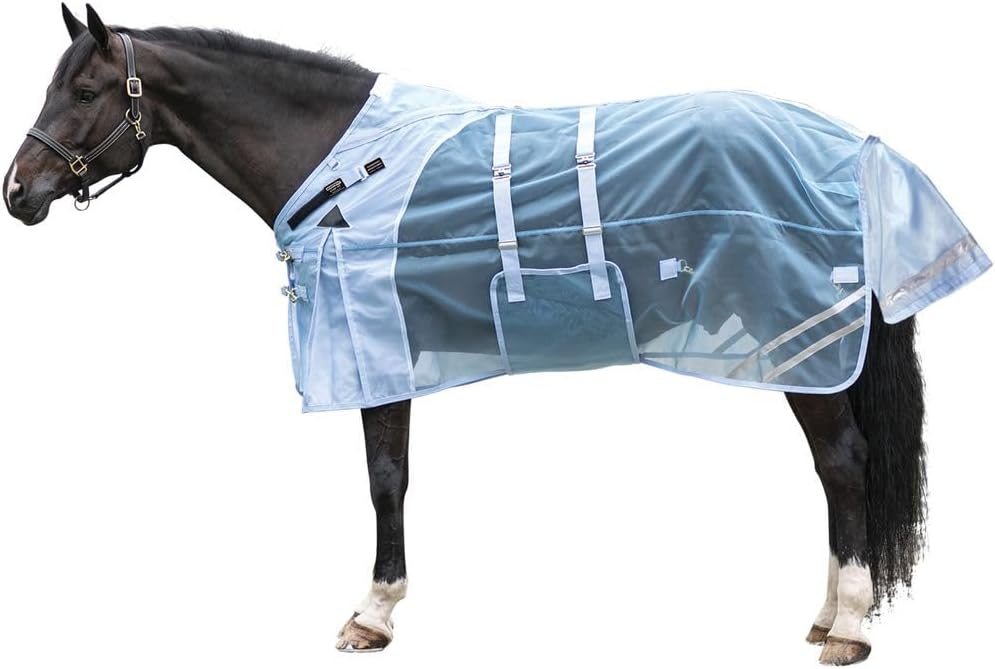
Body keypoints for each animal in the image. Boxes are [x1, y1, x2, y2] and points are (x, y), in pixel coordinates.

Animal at [3, 5, 937, 664]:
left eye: (83, 93)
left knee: (842, 463)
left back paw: (847, 626)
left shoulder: (372, 348)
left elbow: (385, 479)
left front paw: (372, 613)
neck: (342, 165)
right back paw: (825, 614)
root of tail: (854, 148)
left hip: (801, 334)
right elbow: (394, 475)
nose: (18, 191)